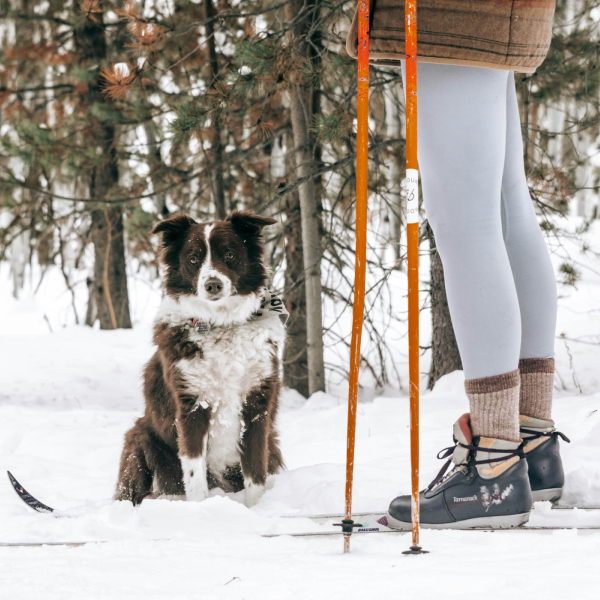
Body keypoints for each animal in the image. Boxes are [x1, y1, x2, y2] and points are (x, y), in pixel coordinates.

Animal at [118, 211, 288, 506]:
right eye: (193, 259)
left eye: (230, 254)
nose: (212, 284)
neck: (222, 323)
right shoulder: (192, 405)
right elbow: (194, 474)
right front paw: (200, 510)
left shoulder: (257, 405)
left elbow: (255, 472)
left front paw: (256, 509)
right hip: (140, 438)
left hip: (273, 443)